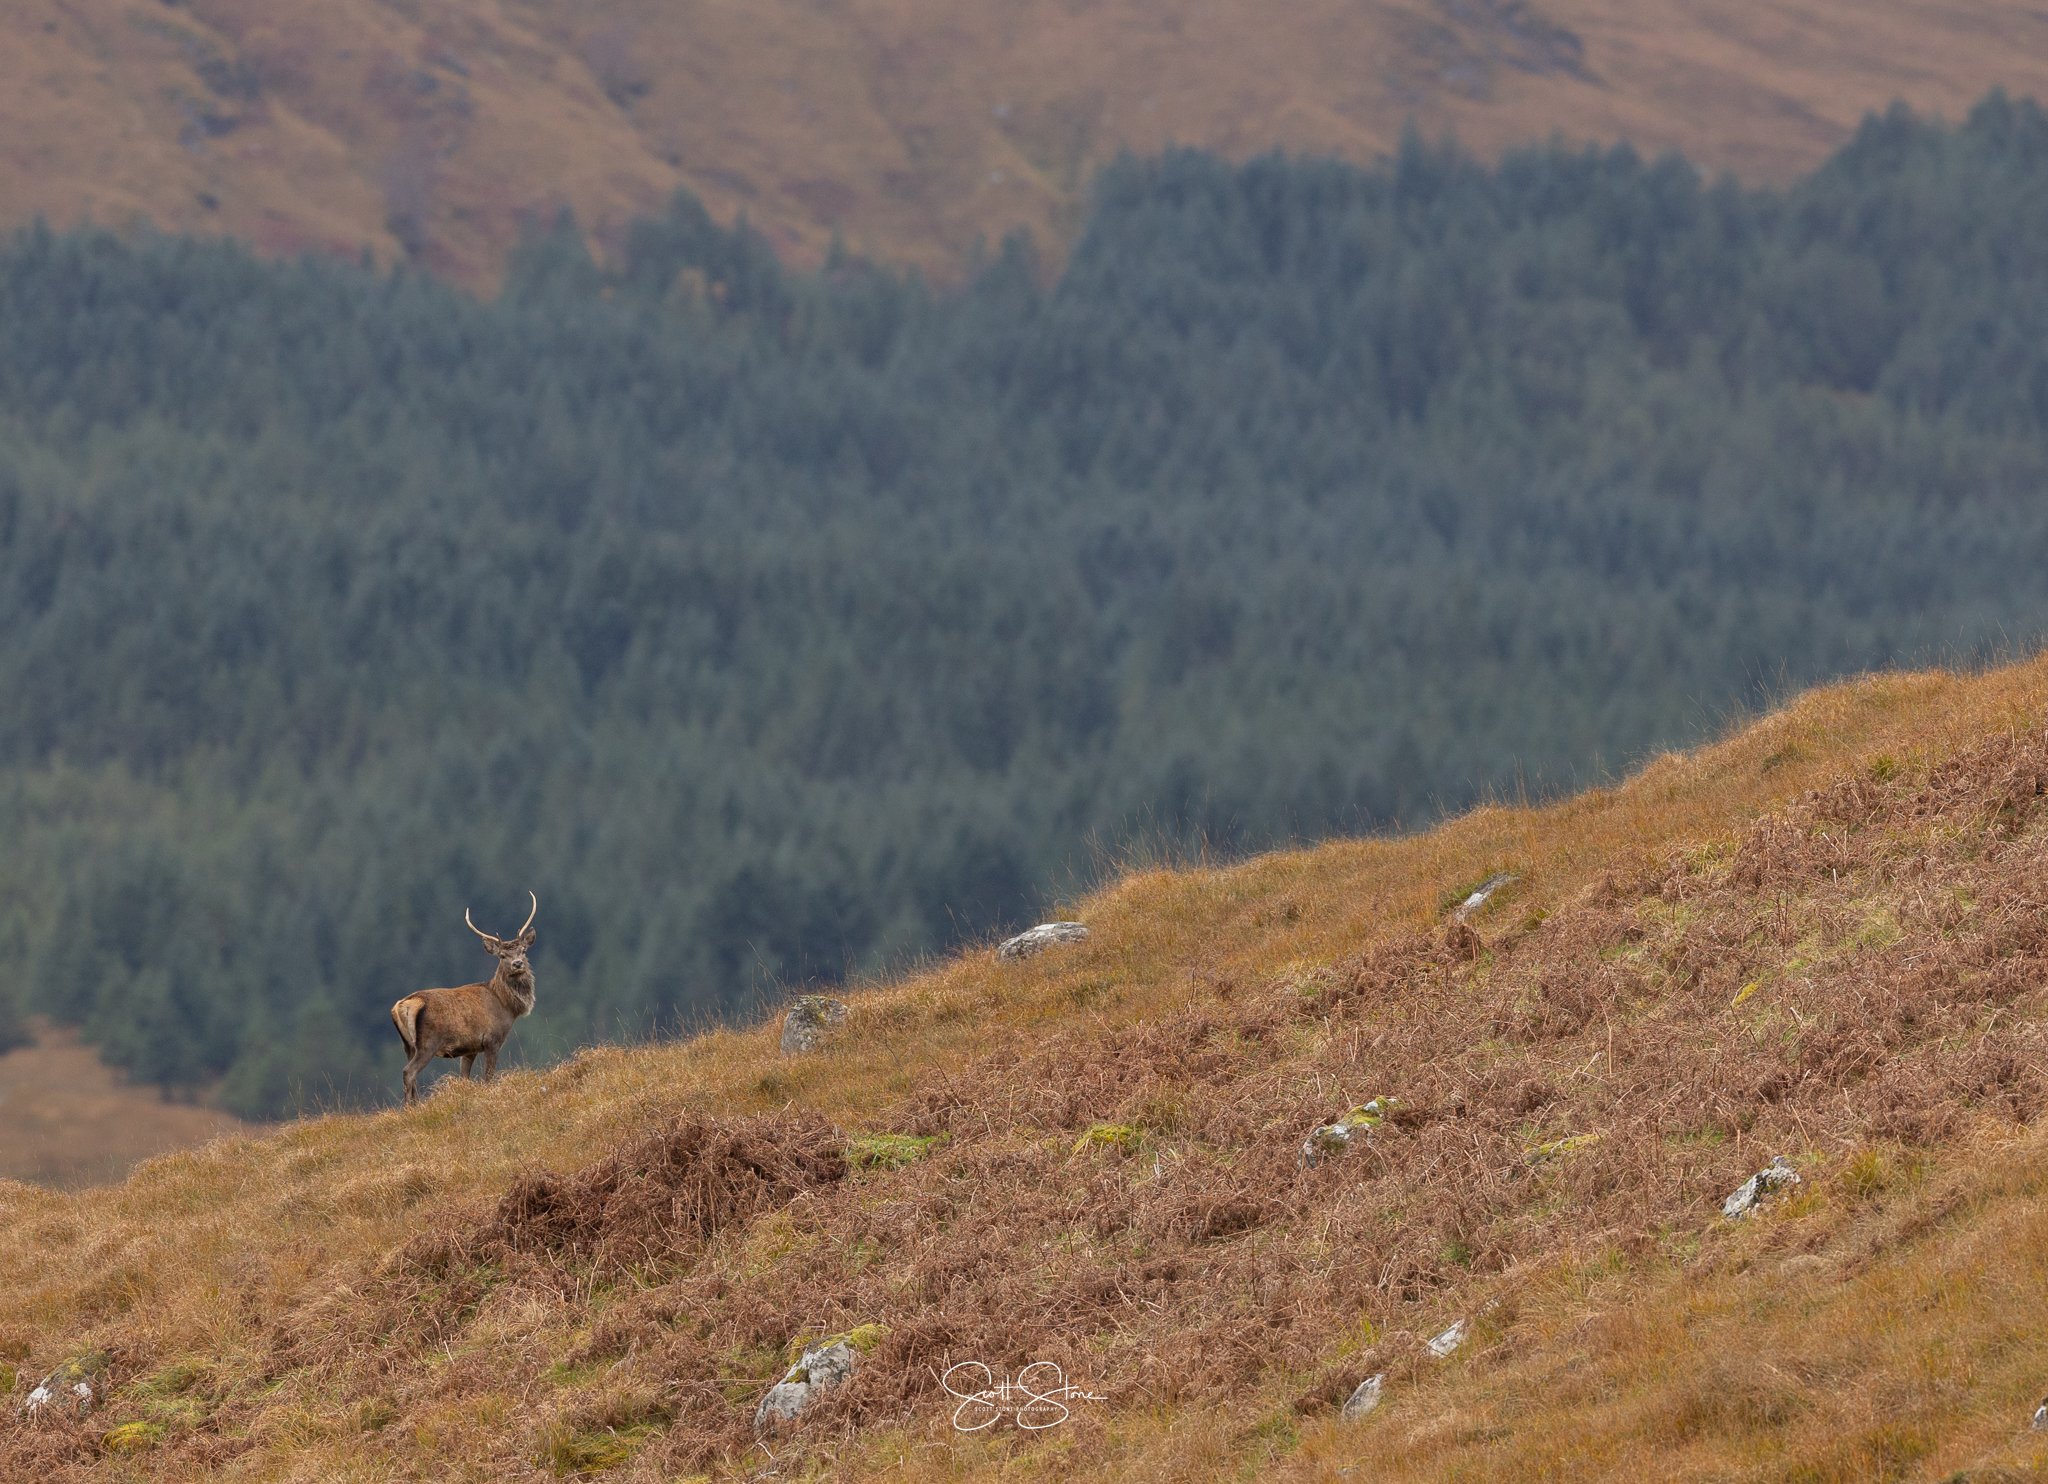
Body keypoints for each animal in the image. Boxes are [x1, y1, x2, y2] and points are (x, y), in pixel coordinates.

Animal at [390, 892, 538, 1107]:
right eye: (502, 955)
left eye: (524, 950)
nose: (517, 964)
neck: (506, 1006)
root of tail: (404, 1005)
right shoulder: (492, 1040)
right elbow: (488, 1078)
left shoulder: (470, 1049)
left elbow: (464, 1078)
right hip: (427, 1043)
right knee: (408, 1072)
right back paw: (411, 1107)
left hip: (407, 1045)